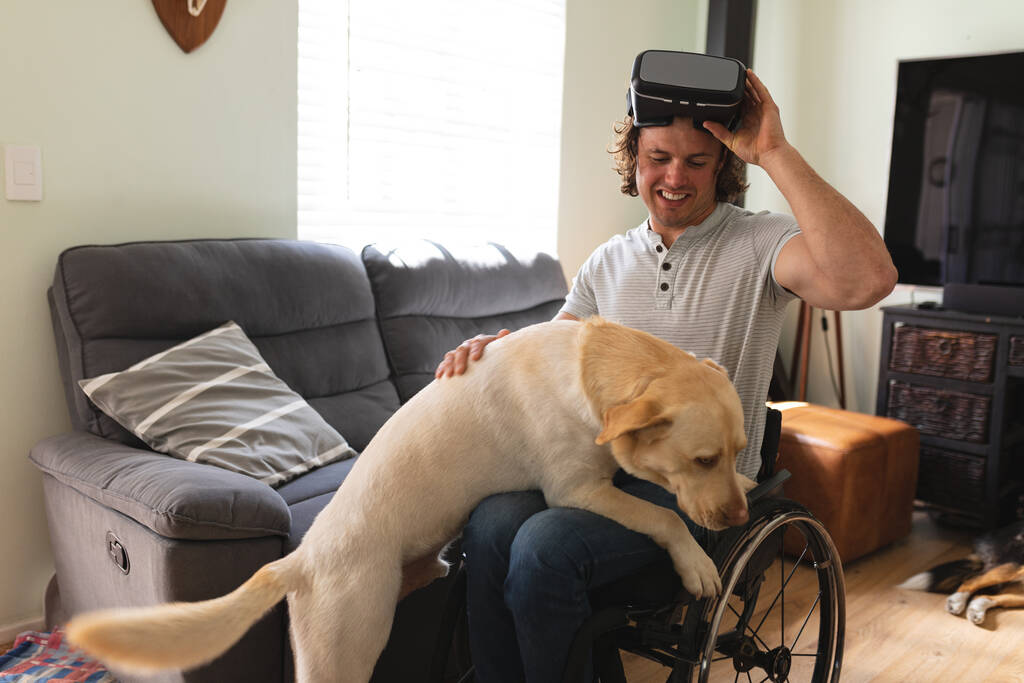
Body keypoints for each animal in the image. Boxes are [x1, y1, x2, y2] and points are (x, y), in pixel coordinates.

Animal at [66, 319, 753, 683]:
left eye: (738, 450)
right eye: (702, 460)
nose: (741, 519)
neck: (593, 370)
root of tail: (299, 560)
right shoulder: (578, 490)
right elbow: (661, 513)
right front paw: (700, 564)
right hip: (347, 647)